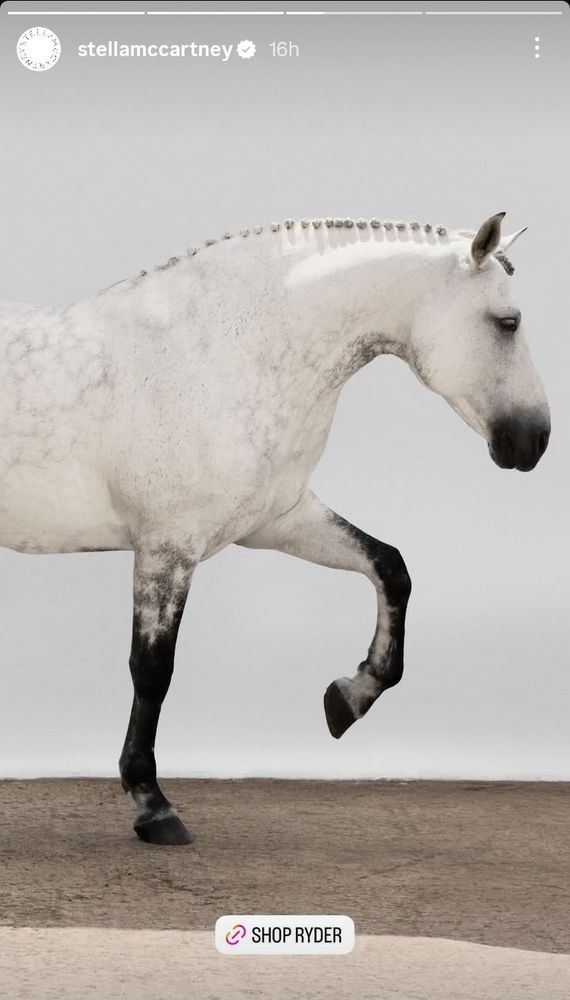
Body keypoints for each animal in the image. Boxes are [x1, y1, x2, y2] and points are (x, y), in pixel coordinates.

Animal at [0, 211, 550, 845]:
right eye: (508, 322)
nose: (534, 440)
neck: (222, 354)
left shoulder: (278, 521)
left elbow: (391, 567)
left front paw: (349, 698)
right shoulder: (168, 547)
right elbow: (153, 670)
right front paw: (153, 805)